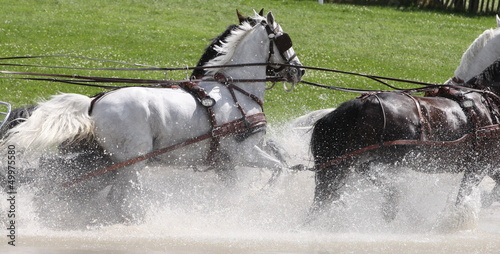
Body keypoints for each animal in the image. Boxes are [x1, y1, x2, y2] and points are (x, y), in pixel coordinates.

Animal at [2, 10, 304, 223]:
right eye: (284, 39)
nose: (299, 70)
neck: (235, 88)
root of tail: (92, 103)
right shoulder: (243, 152)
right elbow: (278, 168)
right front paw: (262, 196)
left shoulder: (229, 160)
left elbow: (268, 168)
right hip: (132, 161)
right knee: (120, 198)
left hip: (104, 160)